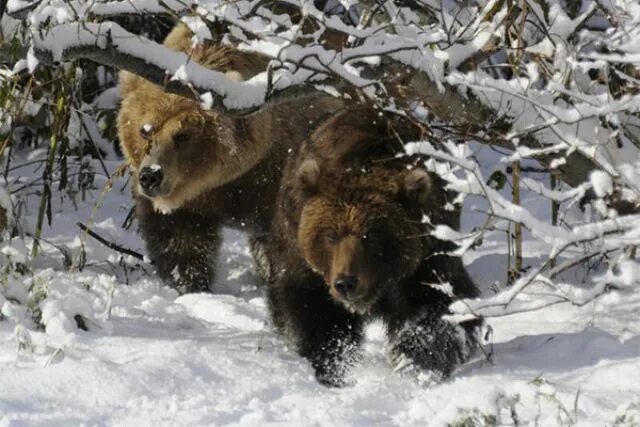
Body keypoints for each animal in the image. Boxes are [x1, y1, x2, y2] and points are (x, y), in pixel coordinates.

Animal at [117, 23, 342, 294]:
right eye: (145, 130)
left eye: (182, 135)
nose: (151, 176)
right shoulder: (191, 200)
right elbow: (180, 237)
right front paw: (189, 281)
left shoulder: (279, 171)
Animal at [262, 106, 482, 388]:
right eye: (330, 235)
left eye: (373, 235)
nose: (346, 283)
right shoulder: (306, 264)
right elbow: (315, 313)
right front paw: (334, 366)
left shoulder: (429, 254)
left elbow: (445, 306)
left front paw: (416, 363)